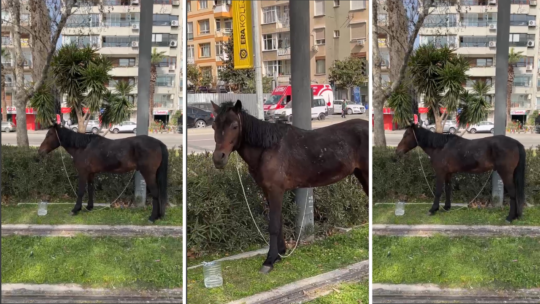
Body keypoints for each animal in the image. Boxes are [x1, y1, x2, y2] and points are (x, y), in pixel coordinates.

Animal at [37, 122, 168, 222]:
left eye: (49, 134)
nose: (40, 151)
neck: (83, 147)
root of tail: (158, 143)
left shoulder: (83, 173)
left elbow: (81, 191)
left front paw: (76, 209)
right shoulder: (91, 174)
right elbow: (90, 189)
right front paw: (89, 207)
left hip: (148, 174)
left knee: (155, 193)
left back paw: (153, 217)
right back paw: (158, 215)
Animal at [209, 100, 370, 274]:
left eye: (234, 126)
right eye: (214, 126)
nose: (218, 158)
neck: (268, 149)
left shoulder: (276, 191)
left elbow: (273, 225)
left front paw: (269, 260)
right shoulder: (268, 191)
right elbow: (278, 221)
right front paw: (279, 253)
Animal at [394, 124, 524, 223]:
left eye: (406, 135)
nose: (397, 151)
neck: (441, 147)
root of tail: (515, 143)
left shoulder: (440, 173)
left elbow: (438, 191)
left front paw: (433, 209)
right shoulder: (448, 174)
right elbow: (447, 189)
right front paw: (446, 207)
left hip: (506, 174)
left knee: (513, 193)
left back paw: (510, 217)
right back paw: (516, 215)